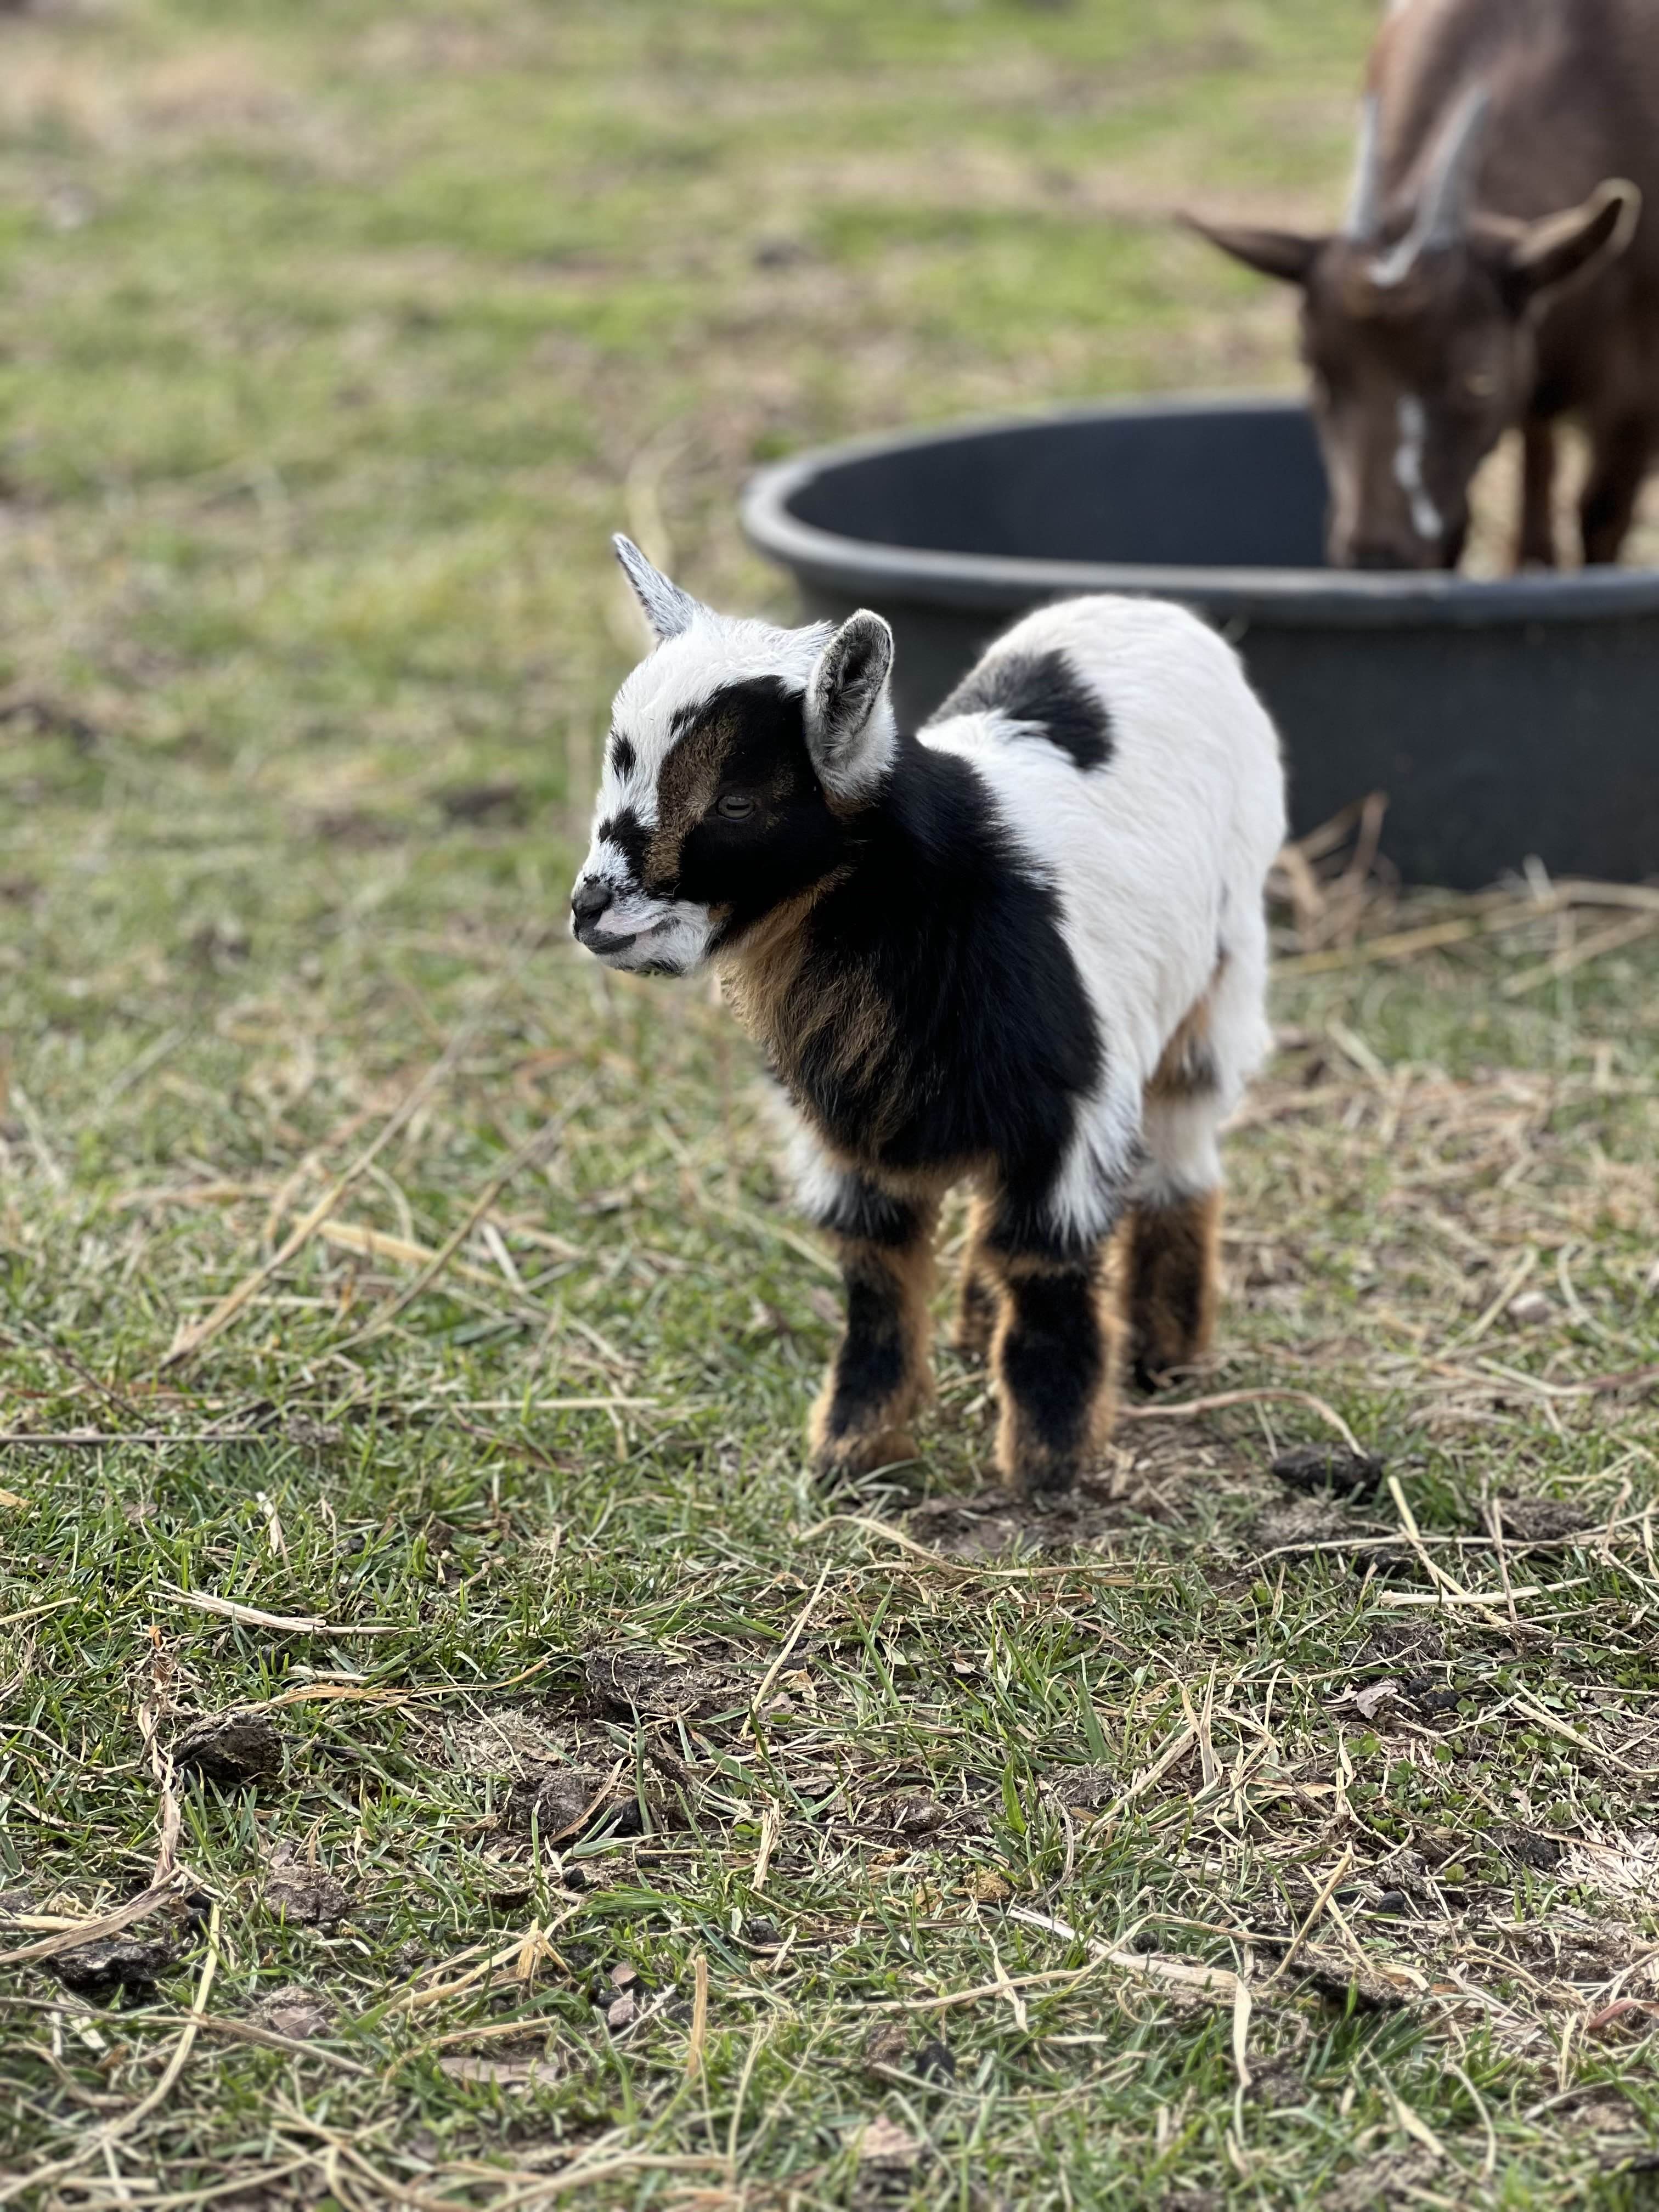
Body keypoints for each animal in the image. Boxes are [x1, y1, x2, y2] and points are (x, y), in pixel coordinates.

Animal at [570, 539, 1286, 1499]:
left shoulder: (1069, 1108)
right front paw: (853, 1447)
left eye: (735, 803)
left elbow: (1044, 1266)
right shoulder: (850, 1122)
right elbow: (876, 1272)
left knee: (1183, 1146)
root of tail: (1146, 602)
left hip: (1222, 973)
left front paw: (1050, 1464)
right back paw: (977, 1331)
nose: (590, 912)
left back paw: (1167, 1349)